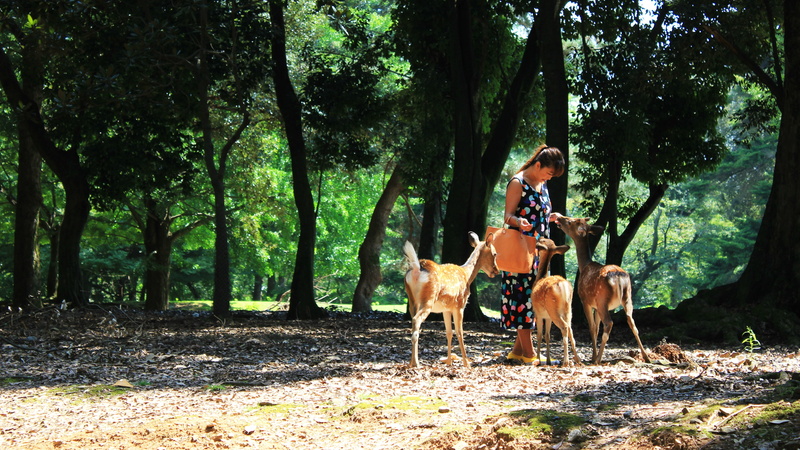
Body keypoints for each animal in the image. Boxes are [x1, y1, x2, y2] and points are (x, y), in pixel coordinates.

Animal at [403, 232, 499, 368]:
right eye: (495, 253)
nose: (497, 270)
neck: (467, 275)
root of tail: (416, 269)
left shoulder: (446, 309)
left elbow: (449, 332)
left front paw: (449, 362)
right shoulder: (460, 304)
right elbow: (460, 332)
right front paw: (466, 363)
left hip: (412, 300)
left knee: (413, 322)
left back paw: (411, 363)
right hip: (428, 299)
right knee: (417, 320)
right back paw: (416, 363)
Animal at [530, 238, 582, 367]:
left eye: (542, 240)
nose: (537, 238)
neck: (540, 278)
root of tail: (563, 286)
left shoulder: (538, 313)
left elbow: (539, 335)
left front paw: (538, 360)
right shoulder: (547, 317)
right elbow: (547, 335)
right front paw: (548, 360)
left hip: (552, 309)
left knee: (564, 327)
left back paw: (566, 361)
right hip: (568, 309)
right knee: (570, 329)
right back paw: (578, 360)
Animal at [555, 216, 651, 365]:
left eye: (570, 222)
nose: (559, 218)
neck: (584, 266)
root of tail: (618, 277)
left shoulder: (586, 301)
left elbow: (592, 327)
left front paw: (593, 356)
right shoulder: (595, 305)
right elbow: (597, 327)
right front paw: (593, 355)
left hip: (602, 299)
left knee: (609, 323)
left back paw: (598, 359)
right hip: (627, 297)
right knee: (633, 323)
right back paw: (646, 357)